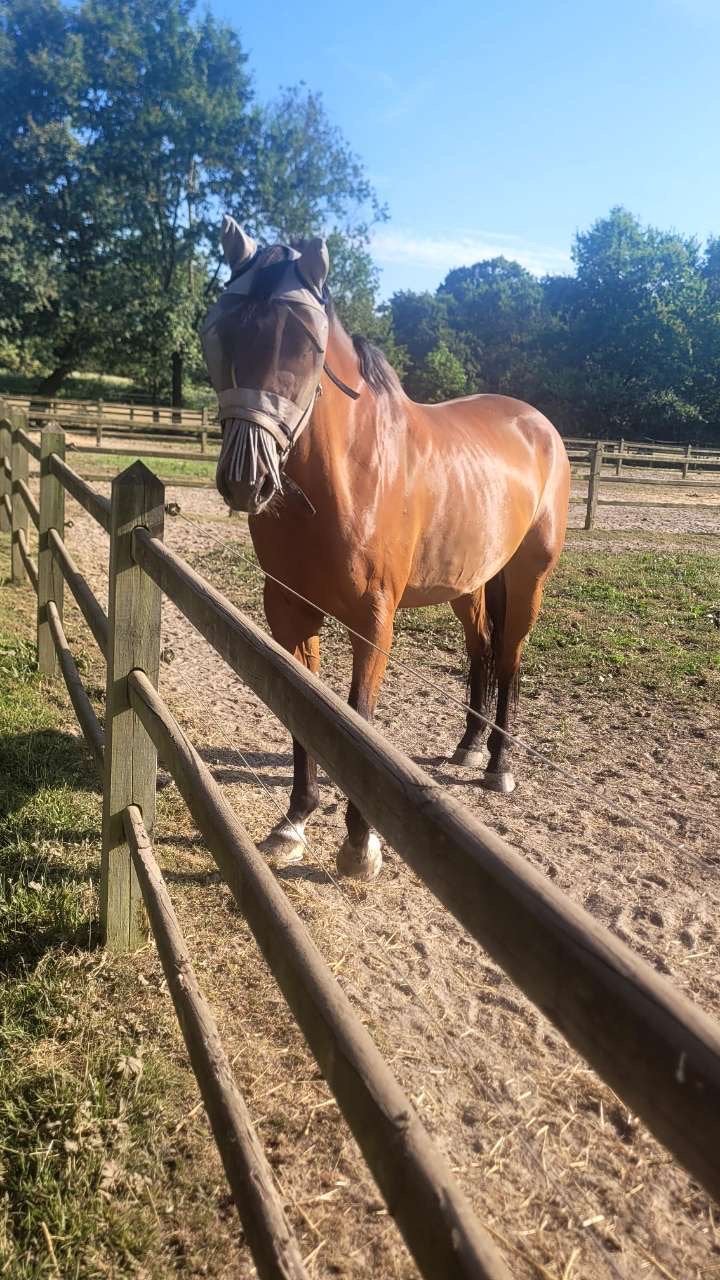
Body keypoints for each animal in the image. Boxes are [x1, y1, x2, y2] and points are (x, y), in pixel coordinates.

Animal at [201, 215, 570, 881]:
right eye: (218, 331)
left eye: (305, 345)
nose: (246, 479)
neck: (345, 476)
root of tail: (539, 425)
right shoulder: (288, 609)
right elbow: (306, 708)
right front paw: (294, 822)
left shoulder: (373, 620)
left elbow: (358, 719)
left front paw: (358, 844)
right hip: (468, 583)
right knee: (480, 648)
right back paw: (468, 746)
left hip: (528, 578)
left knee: (508, 657)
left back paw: (499, 763)